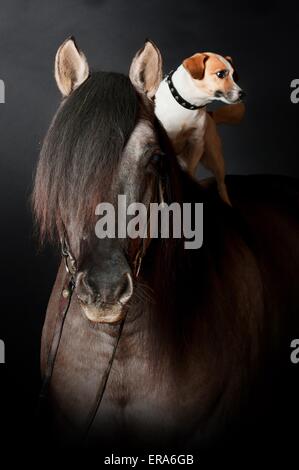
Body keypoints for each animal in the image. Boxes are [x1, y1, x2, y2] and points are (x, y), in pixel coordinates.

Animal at [155, 46, 246, 205]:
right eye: (221, 74)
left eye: (235, 76)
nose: (242, 94)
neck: (187, 105)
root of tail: (211, 115)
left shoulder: (196, 143)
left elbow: (190, 172)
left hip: (214, 158)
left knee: (221, 184)